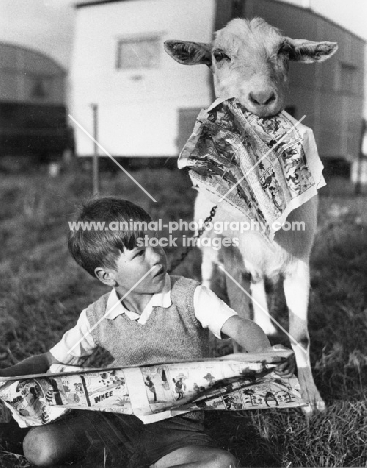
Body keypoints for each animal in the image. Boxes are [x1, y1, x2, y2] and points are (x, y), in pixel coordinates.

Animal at [166, 18, 340, 410]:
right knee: (211, 277)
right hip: (210, 248)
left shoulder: (299, 261)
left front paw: (311, 397)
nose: (261, 98)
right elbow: (242, 316)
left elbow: (300, 333)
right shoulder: (233, 260)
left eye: (284, 50)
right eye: (219, 54)